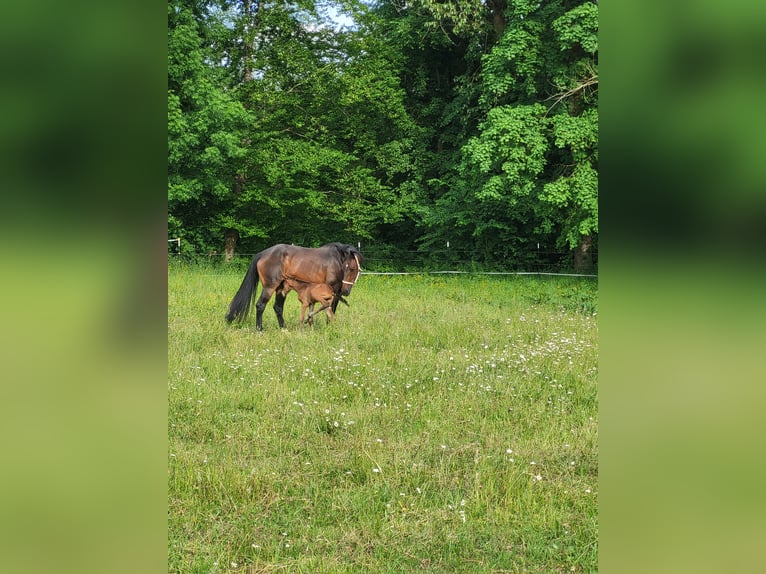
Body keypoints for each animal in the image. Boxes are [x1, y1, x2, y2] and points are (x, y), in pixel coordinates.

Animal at [225, 242, 362, 330]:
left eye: (352, 268)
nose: (345, 291)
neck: (335, 261)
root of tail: (262, 254)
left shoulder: (334, 293)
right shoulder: (332, 290)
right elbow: (329, 309)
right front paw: (328, 327)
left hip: (281, 289)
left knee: (278, 307)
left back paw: (283, 328)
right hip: (270, 287)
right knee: (260, 305)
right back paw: (260, 329)